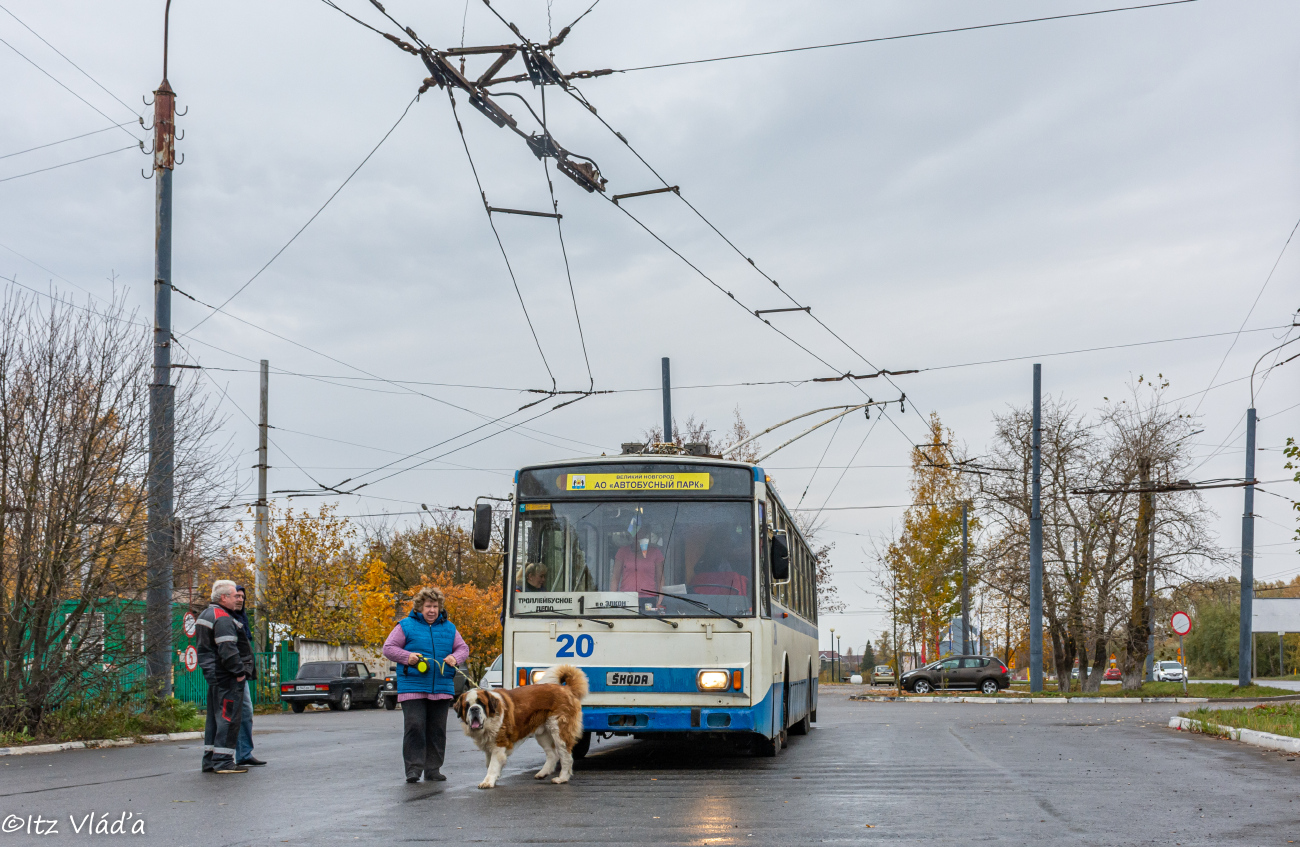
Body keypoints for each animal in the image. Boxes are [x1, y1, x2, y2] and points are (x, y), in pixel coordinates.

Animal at [452, 662, 585, 789]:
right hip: (543, 734)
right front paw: (494, 778)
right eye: (467, 706)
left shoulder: (499, 744)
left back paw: (562, 778)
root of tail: (566, 689)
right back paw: (543, 773)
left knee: (565, 755)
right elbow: (489, 763)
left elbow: (492, 765)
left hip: (559, 731)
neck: (490, 719)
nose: (474, 709)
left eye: (481, 704)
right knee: (553, 754)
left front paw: (487, 782)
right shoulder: (489, 745)